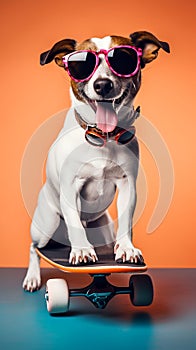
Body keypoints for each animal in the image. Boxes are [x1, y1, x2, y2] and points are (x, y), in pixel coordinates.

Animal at [22, 30, 170, 292]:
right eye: (82, 64)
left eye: (123, 59)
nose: (102, 85)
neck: (103, 137)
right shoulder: (71, 187)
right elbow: (73, 221)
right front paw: (81, 250)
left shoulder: (128, 185)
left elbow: (127, 220)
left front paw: (127, 248)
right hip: (46, 224)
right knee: (36, 248)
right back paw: (32, 277)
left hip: (104, 228)